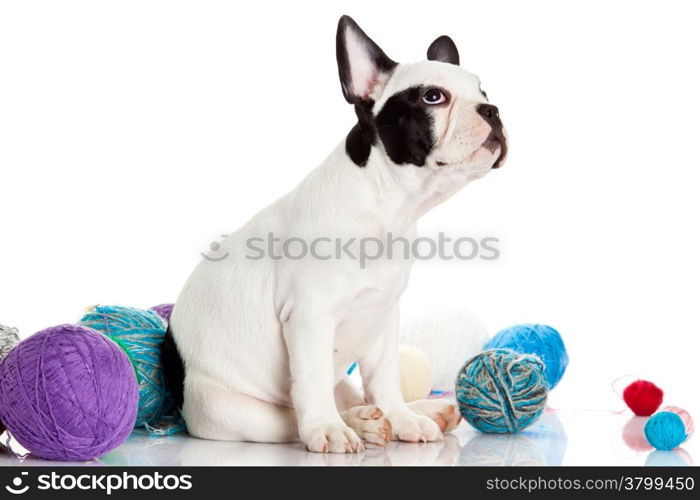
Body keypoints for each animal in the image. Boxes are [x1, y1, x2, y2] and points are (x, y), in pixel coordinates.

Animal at [167, 14, 506, 454]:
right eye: (434, 97)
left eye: (484, 92)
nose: (493, 109)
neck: (386, 206)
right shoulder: (310, 317)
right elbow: (310, 383)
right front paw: (328, 429)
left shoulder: (383, 317)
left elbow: (384, 378)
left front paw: (402, 418)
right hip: (227, 409)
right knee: (290, 417)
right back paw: (351, 423)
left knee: (348, 394)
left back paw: (420, 411)